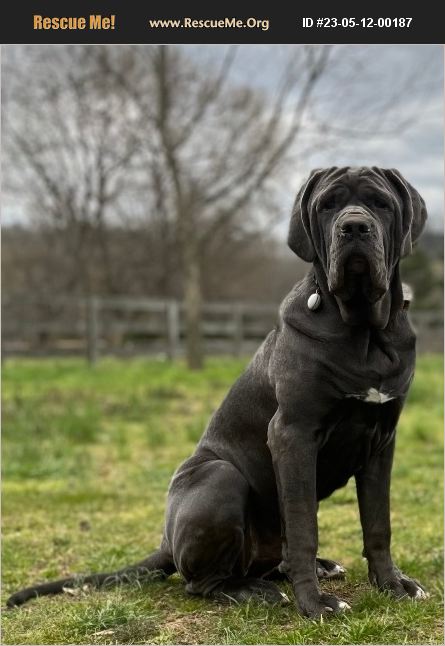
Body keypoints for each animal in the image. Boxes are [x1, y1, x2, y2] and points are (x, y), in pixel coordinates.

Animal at [7, 166, 430, 616]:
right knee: (202, 580)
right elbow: (304, 527)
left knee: (274, 557)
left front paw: (394, 586)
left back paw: (314, 569)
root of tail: (166, 541)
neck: (364, 330)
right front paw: (315, 605)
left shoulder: (381, 440)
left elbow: (378, 525)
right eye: (327, 205)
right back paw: (253, 590)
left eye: (380, 203)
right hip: (219, 476)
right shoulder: (292, 433)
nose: (354, 227)